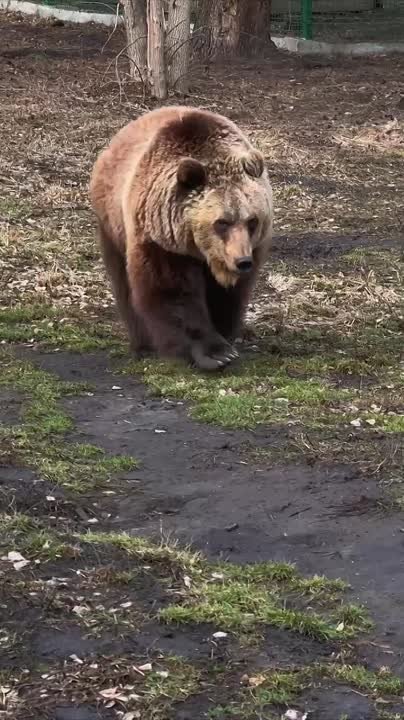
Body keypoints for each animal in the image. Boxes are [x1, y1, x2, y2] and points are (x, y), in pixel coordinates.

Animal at [88, 105, 272, 372]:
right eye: (222, 222)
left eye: (252, 221)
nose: (242, 261)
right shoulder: (160, 239)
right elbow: (173, 292)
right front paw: (214, 352)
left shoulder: (251, 248)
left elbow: (227, 295)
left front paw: (224, 335)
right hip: (113, 223)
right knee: (124, 283)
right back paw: (142, 344)